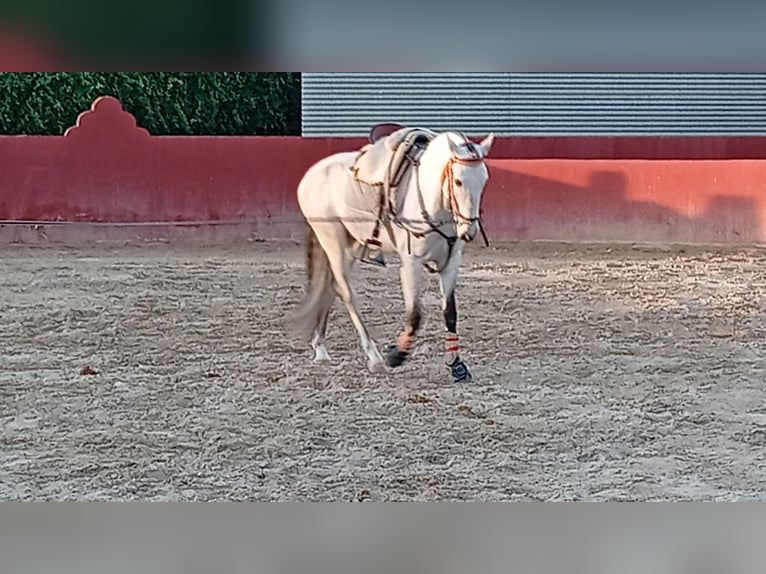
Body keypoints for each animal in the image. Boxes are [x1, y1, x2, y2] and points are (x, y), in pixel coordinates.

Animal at [289, 125, 495, 383]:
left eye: (484, 180)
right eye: (457, 181)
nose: (469, 231)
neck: (433, 198)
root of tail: (311, 175)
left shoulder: (450, 262)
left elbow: (450, 313)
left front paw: (457, 366)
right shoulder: (410, 263)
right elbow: (415, 315)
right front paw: (397, 355)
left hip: (350, 245)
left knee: (330, 288)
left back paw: (321, 348)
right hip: (332, 240)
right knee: (346, 293)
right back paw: (374, 357)